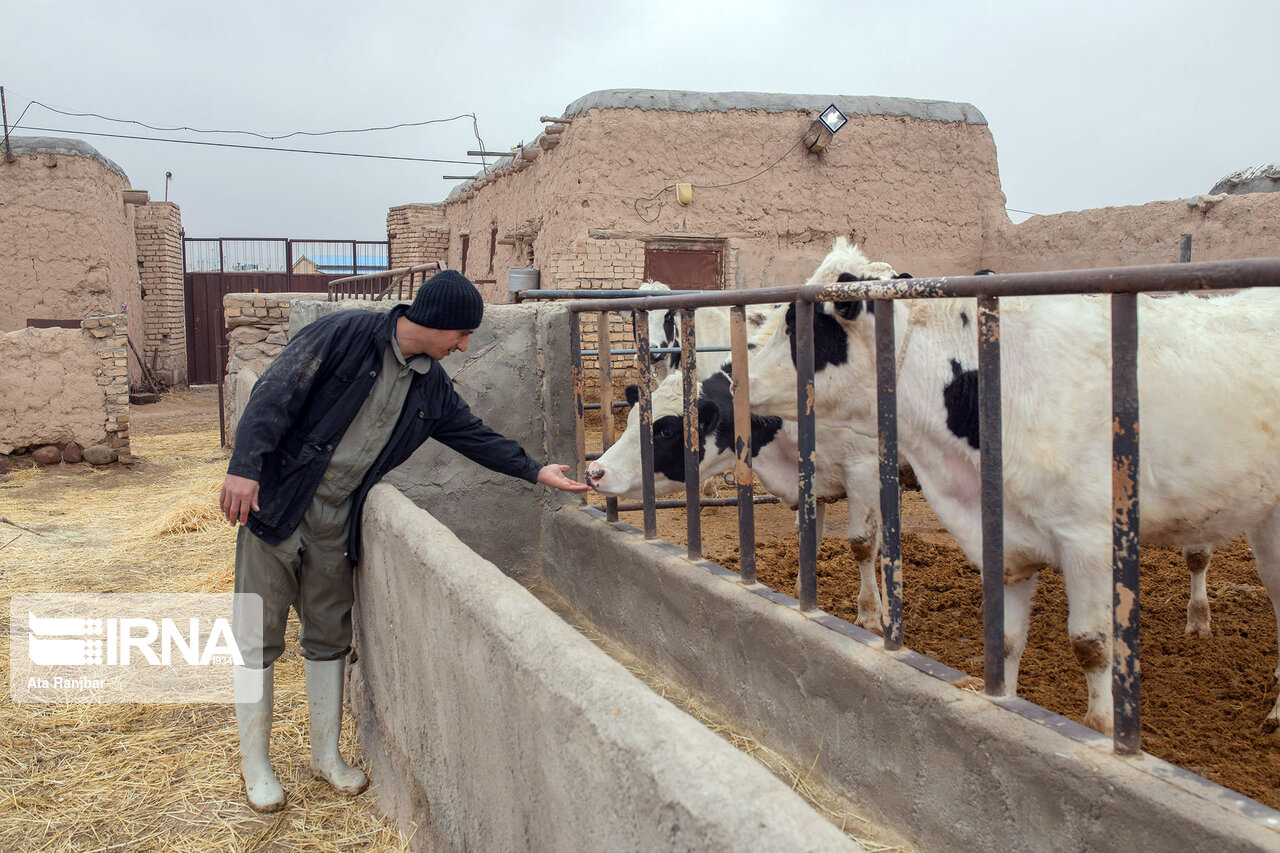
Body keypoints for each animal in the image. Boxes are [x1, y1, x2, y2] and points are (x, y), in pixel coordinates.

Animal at [742, 236, 1280, 732]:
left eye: (798, 324)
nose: (740, 383)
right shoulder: (1004, 543)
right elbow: (1003, 642)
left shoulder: (1089, 538)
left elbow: (1092, 646)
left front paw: (1100, 730)